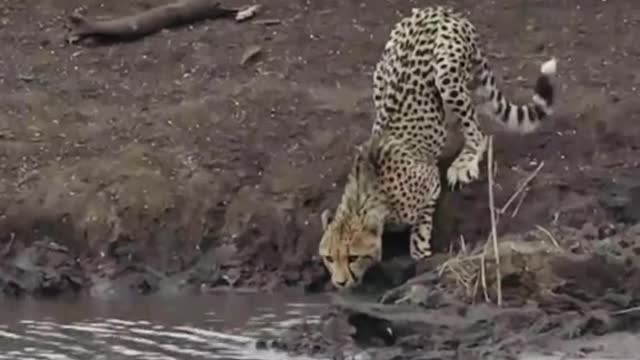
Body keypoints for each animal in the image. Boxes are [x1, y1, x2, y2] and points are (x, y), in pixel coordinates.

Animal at [318, 6, 556, 290]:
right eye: (329, 258)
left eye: (353, 257)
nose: (339, 282)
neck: (367, 193)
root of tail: (439, 9)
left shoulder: (430, 185)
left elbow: (420, 228)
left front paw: (420, 252)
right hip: (381, 72)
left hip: (446, 74)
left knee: (478, 132)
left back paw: (465, 162)